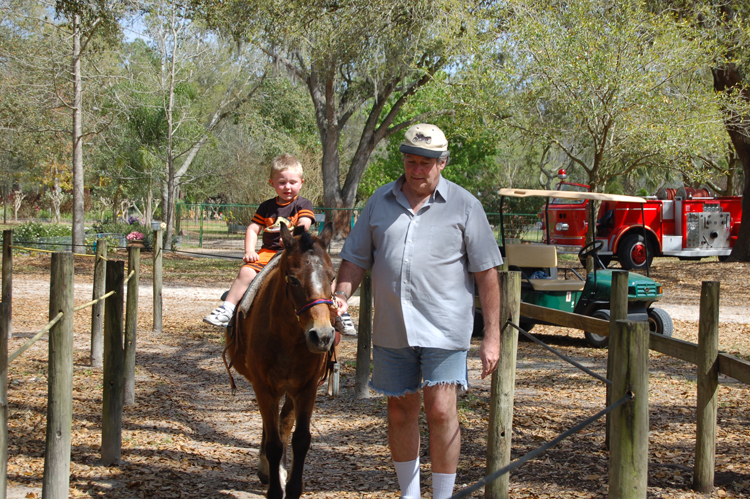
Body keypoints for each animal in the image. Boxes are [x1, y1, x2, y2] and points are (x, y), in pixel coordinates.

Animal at [226, 224, 338, 499]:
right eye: (294, 279)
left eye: (332, 277)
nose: (322, 336)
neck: (287, 335)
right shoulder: (264, 388)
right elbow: (274, 442)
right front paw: (275, 489)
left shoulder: (306, 389)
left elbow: (299, 438)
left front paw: (293, 487)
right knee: (272, 429)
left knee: (283, 424)